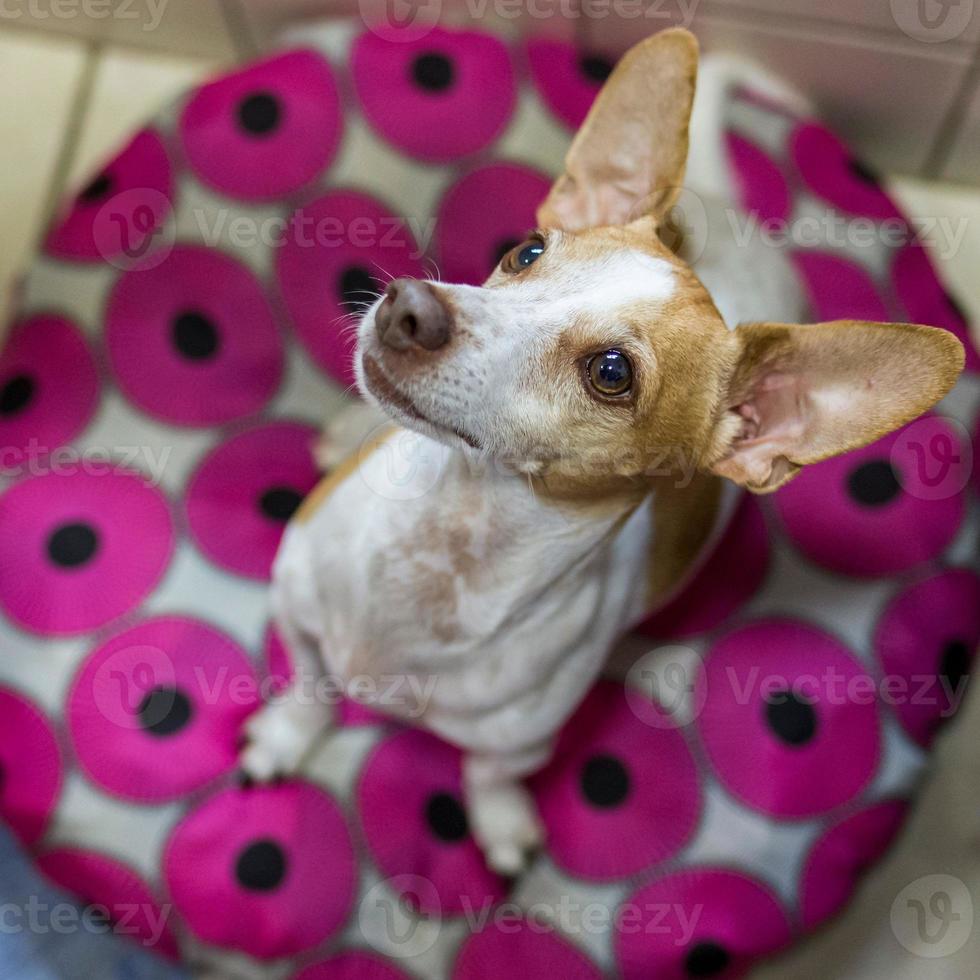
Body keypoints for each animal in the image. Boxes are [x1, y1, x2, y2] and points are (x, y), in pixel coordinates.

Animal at [241, 28, 960, 872]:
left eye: (611, 373)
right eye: (526, 252)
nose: (407, 306)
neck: (442, 549)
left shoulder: (518, 744)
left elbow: (487, 773)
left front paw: (499, 820)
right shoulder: (298, 611)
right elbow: (309, 684)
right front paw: (285, 737)